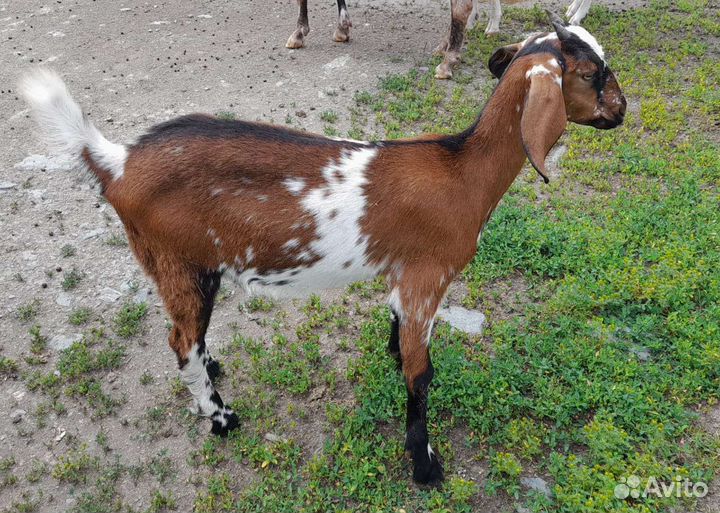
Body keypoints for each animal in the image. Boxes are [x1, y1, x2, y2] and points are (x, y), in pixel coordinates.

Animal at [20, 12, 625, 485]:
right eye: (592, 74)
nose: (621, 111)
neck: (462, 172)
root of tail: (117, 161)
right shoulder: (429, 275)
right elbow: (421, 375)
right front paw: (425, 464)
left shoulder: (404, 277)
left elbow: (397, 334)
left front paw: (392, 356)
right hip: (180, 262)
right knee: (180, 343)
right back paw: (221, 418)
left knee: (189, 338)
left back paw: (213, 370)